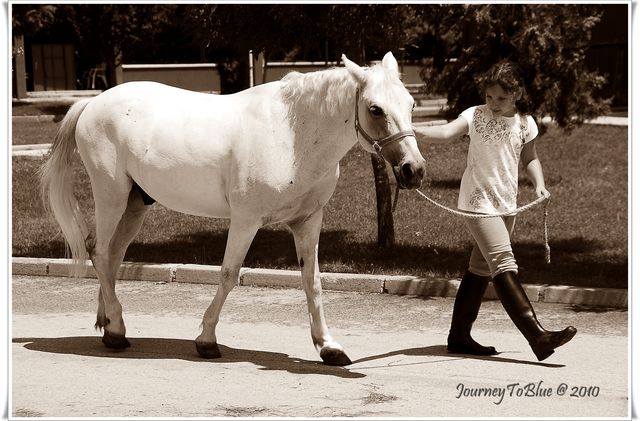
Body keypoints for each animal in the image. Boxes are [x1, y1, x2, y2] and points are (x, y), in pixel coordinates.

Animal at [42, 51, 428, 364]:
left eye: (411, 104)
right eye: (375, 109)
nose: (414, 169)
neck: (292, 134)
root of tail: (92, 103)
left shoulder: (308, 221)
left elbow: (313, 281)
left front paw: (328, 346)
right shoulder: (246, 221)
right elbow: (229, 275)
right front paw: (206, 340)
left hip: (135, 204)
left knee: (113, 256)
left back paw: (109, 325)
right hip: (111, 196)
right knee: (99, 251)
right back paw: (118, 329)